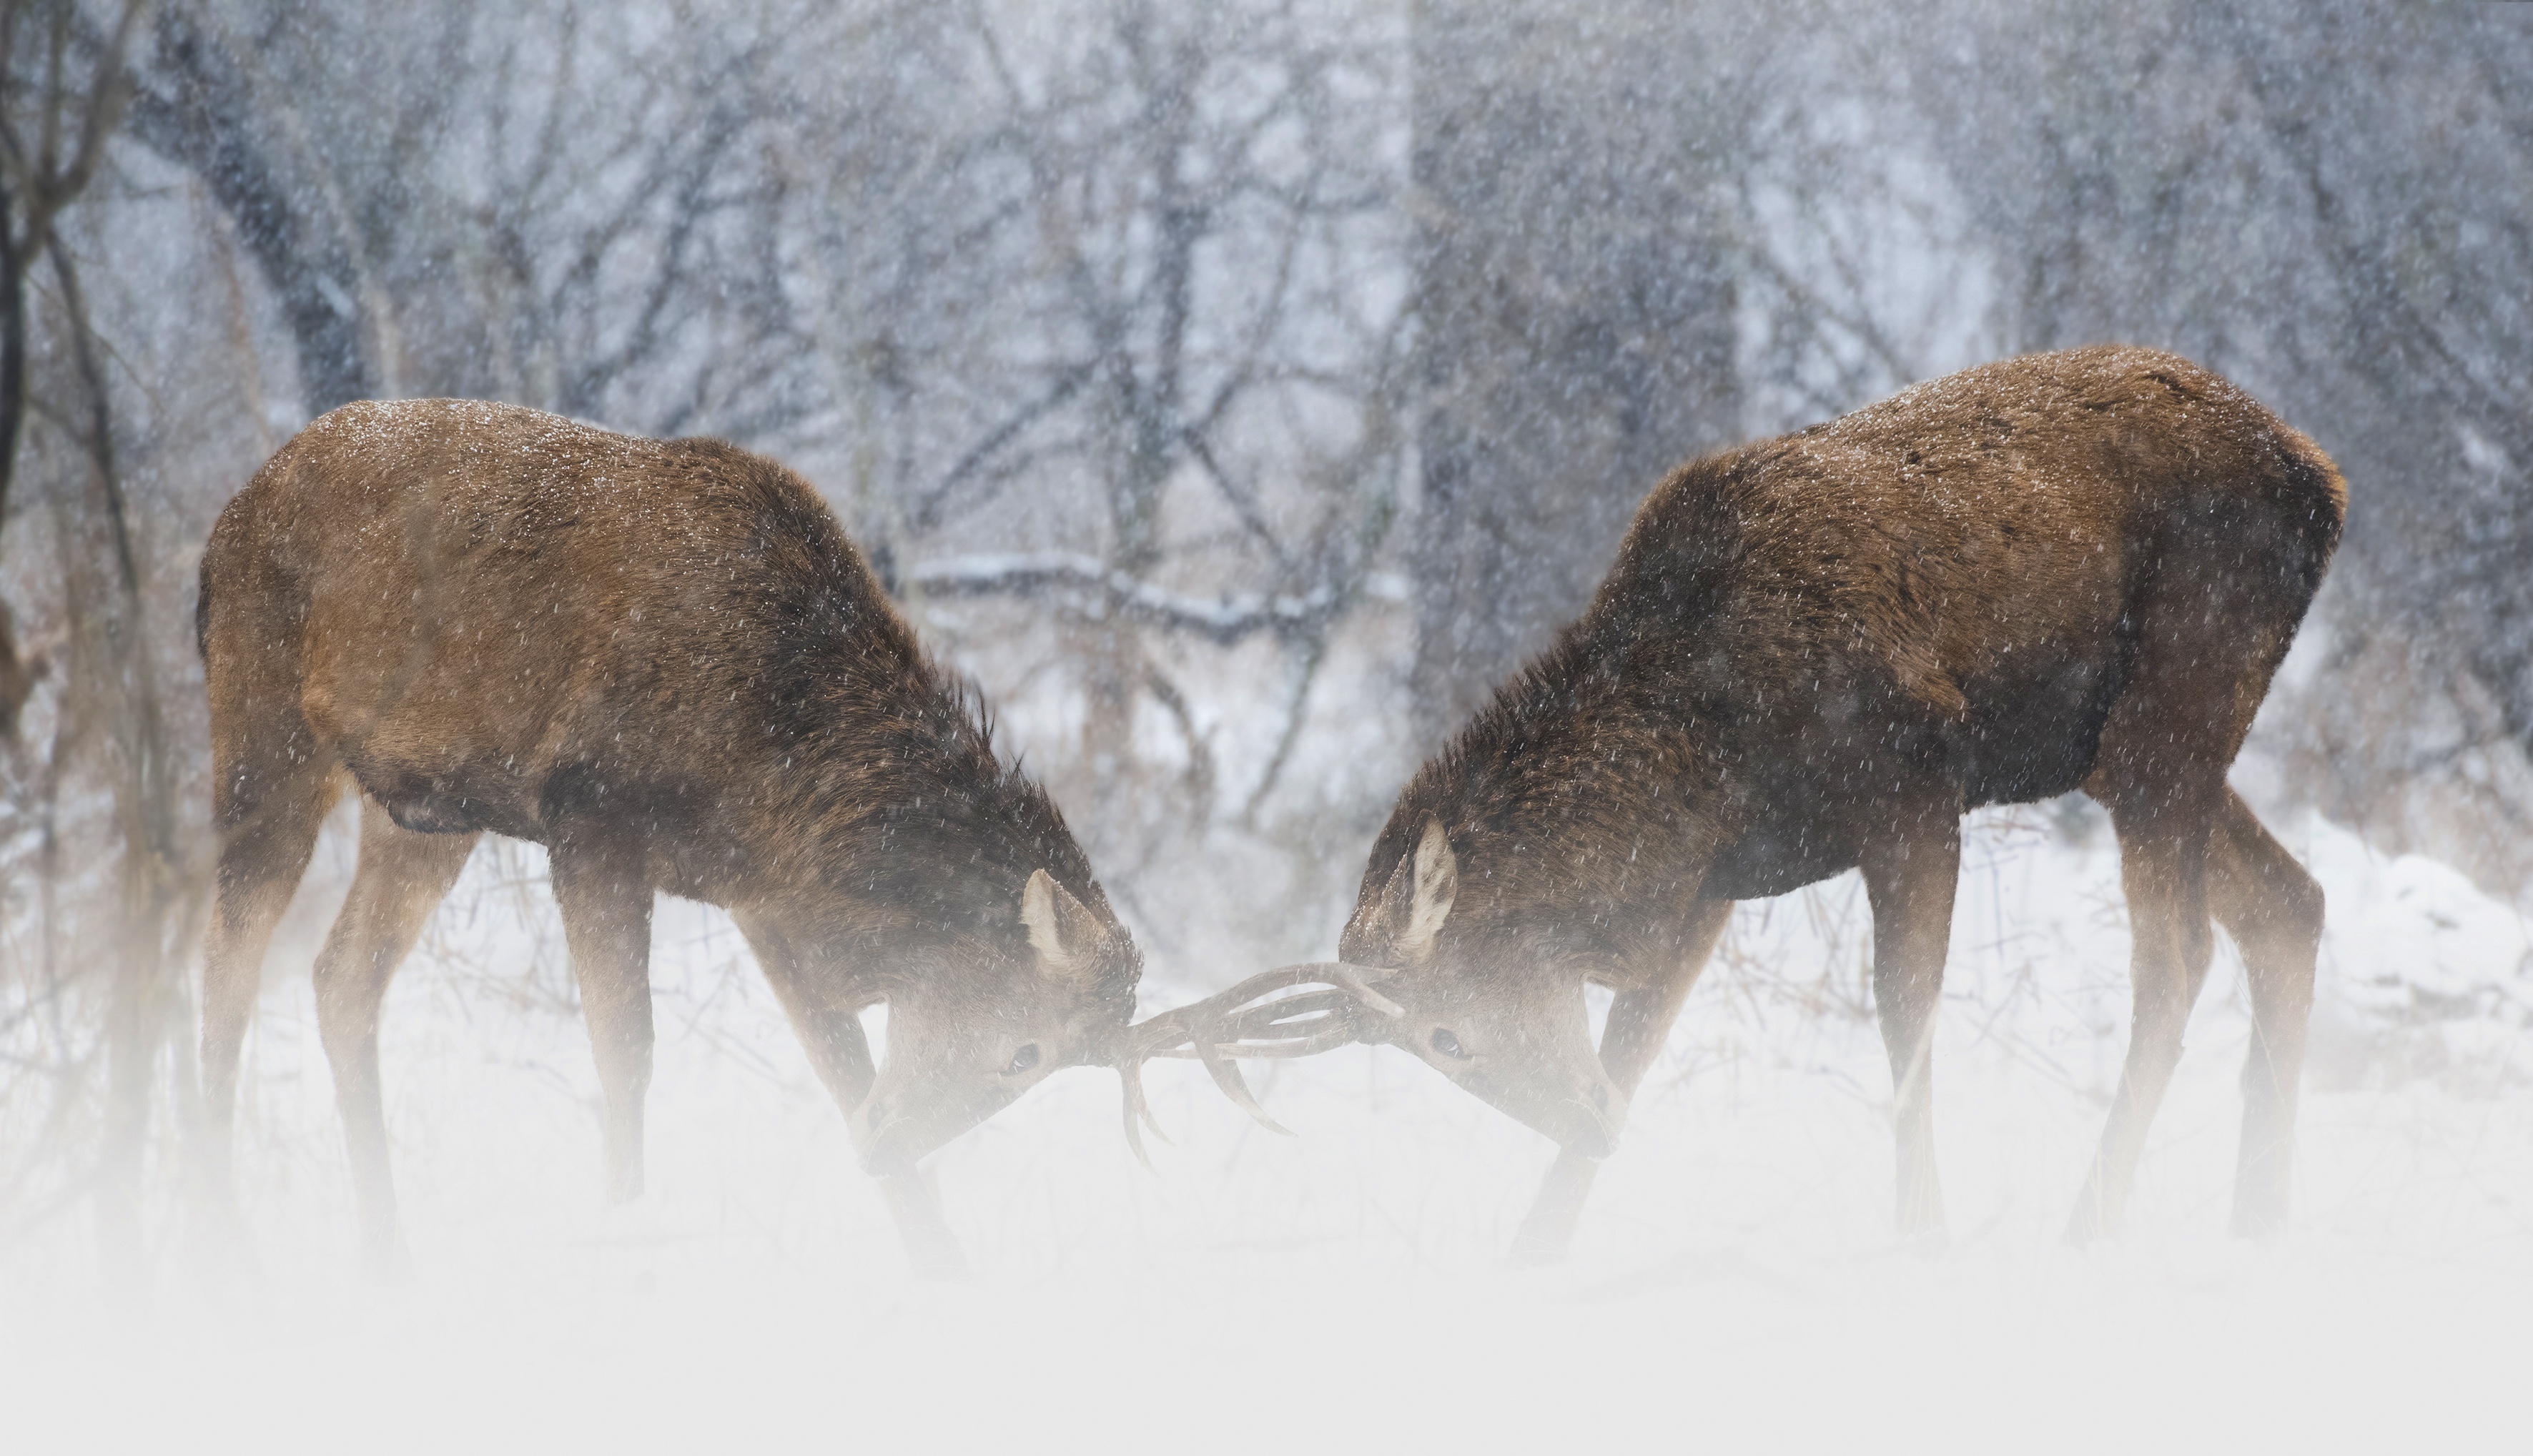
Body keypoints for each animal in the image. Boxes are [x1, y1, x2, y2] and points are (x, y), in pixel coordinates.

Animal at [196, 399, 1144, 1277]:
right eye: (1024, 1052)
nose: (885, 1149)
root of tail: (226, 523)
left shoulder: (757, 894)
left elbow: (842, 1068)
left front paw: (942, 1264)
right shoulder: (588, 814)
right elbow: (628, 1054)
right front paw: (629, 1228)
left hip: (427, 811)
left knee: (340, 977)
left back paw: (387, 1253)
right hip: (262, 728)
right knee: (226, 974)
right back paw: (227, 1239)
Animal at [1306, 345, 2344, 1262]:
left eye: (1447, 1035)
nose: (1590, 1128)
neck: (1706, 752)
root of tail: (2320, 482)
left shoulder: (1911, 781)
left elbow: (1901, 1010)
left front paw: (1922, 1234)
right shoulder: (1713, 884)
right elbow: (1634, 1041)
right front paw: (1533, 1250)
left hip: (2173, 703)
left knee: (2177, 954)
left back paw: (2089, 1226)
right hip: (2113, 752)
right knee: (2289, 900)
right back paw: (2256, 1220)